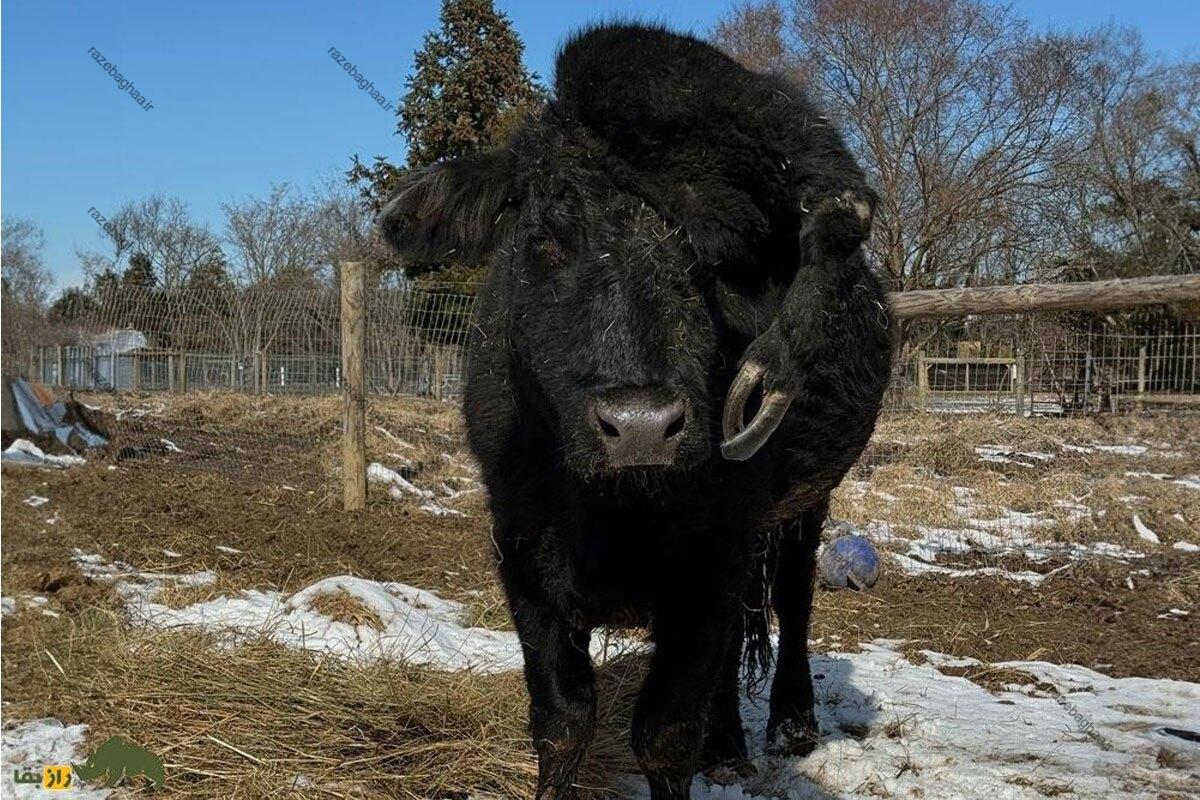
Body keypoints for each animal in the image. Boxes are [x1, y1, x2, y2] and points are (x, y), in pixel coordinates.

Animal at [379, 21, 897, 796]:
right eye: (546, 232)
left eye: (723, 249)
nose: (642, 426)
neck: (610, 514)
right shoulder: (523, 555)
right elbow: (562, 720)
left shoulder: (713, 557)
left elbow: (663, 732)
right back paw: (727, 743)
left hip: (806, 503)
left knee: (793, 596)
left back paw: (791, 724)